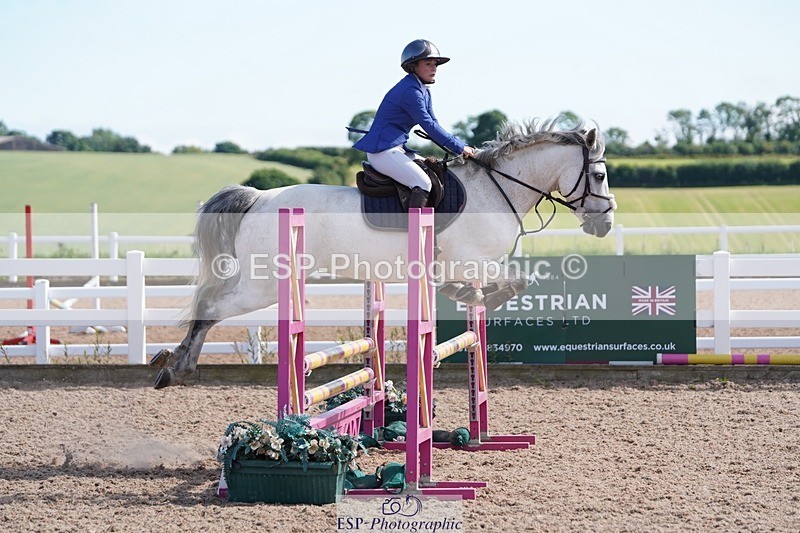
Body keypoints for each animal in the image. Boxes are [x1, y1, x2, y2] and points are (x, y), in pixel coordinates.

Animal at [150, 119, 617, 389]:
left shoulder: (479, 264)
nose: (605, 224)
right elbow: (516, 282)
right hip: (262, 285)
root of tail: (258, 198)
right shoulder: (473, 262)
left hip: (257, 279)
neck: (497, 187)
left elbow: (514, 283)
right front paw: (466, 295)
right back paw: (177, 365)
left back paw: (173, 362)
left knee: (209, 302)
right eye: (599, 175)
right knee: (211, 306)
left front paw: (469, 298)